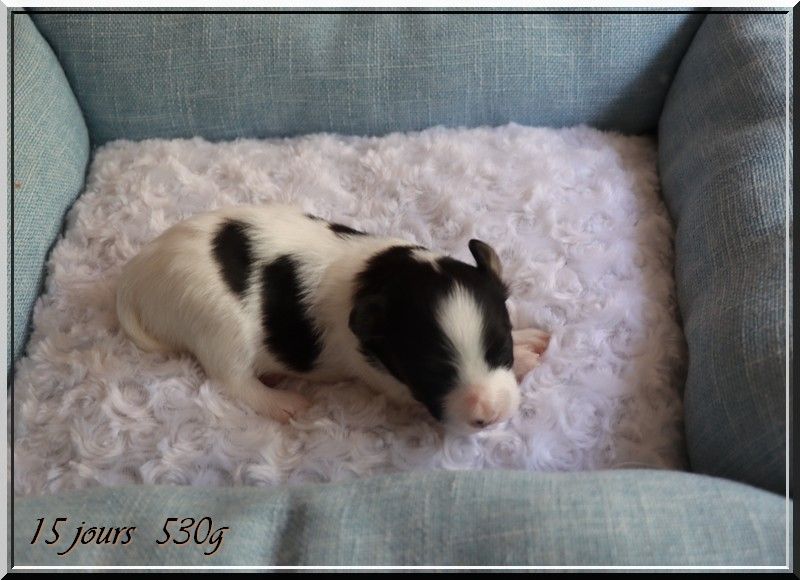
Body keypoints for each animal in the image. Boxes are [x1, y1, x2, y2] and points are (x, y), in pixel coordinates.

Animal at [116, 204, 549, 432]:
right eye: (432, 373)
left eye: (500, 349)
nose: (489, 416)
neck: (386, 275)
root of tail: (135, 279)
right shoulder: (377, 374)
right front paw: (529, 356)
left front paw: (529, 342)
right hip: (218, 327)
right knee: (232, 380)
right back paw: (284, 402)